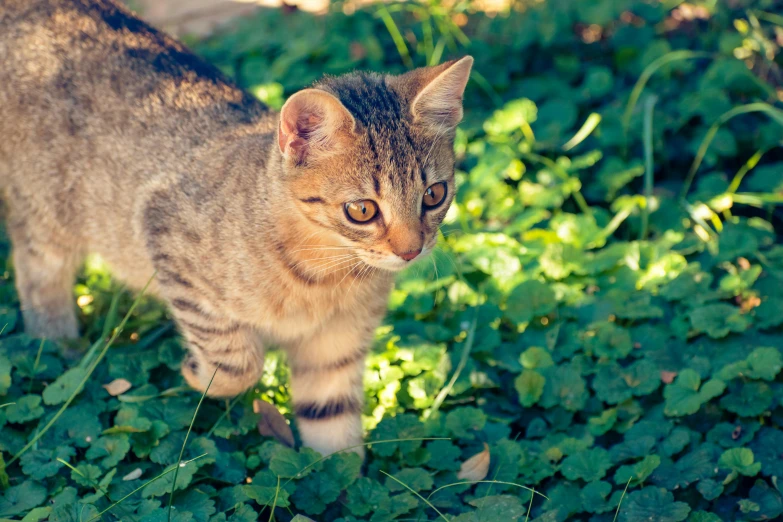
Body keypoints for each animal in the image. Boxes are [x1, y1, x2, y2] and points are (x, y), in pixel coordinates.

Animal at [0, 0, 472, 456]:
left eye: (435, 194)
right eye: (361, 210)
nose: (412, 251)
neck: (325, 277)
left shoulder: (334, 349)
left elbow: (334, 439)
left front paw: (336, 477)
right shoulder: (166, 239)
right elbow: (237, 365)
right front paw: (196, 371)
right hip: (45, 217)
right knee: (36, 278)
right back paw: (59, 350)